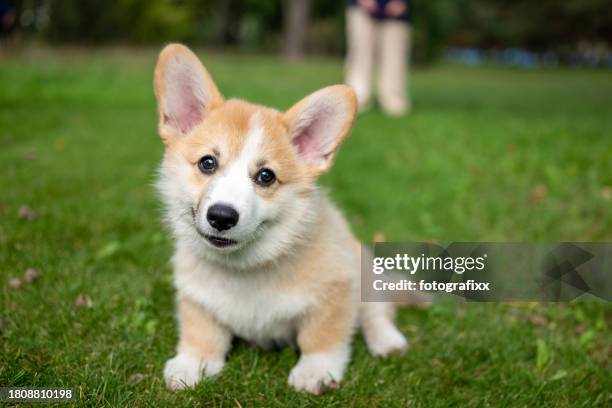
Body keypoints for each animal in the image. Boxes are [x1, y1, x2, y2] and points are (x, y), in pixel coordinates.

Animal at [155, 44, 408, 396]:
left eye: (266, 176)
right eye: (207, 163)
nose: (221, 216)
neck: (245, 268)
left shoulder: (337, 290)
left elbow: (322, 336)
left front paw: (315, 371)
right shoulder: (196, 298)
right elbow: (201, 332)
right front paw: (194, 363)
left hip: (368, 272)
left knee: (377, 312)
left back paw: (387, 342)